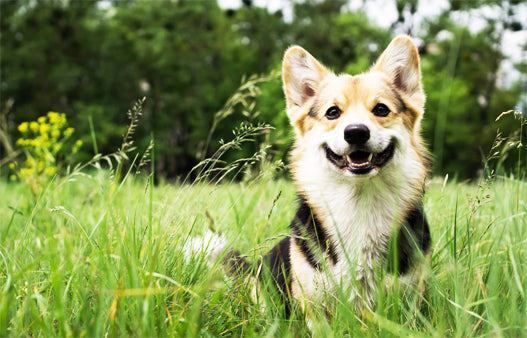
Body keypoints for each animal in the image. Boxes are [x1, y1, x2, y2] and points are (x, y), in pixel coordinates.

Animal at [193, 35, 428, 320]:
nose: (356, 132)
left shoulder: (410, 303)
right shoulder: (315, 309)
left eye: (381, 110)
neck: (359, 199)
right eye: (333, 112)